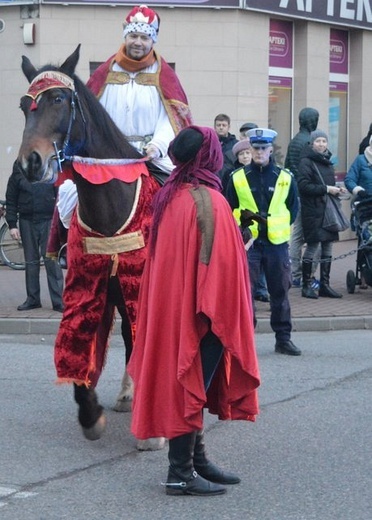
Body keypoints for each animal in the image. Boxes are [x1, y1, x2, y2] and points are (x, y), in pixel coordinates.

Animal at [17, 44, 163, 448]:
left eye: (58, 99)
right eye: (24, 105)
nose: (30, 163)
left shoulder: (141, 286)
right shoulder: (89, 284)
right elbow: (79, 345)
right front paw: (90, 414)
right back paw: (127, 394)